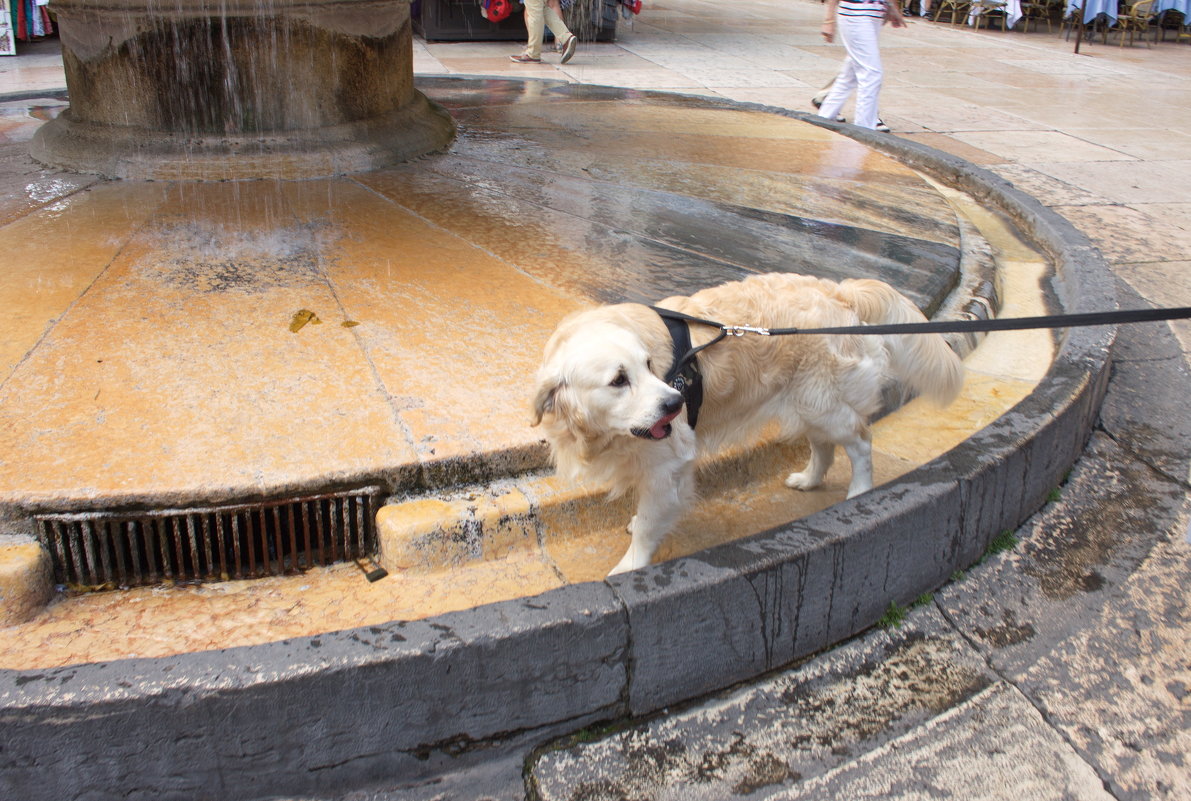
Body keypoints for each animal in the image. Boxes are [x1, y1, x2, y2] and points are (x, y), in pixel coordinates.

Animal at [535, 274, 962, 576]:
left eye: (648, 366)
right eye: (618, 380)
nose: (675, 403)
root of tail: (840, 291)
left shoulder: (668, 462)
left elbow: (649, 523)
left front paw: (631, 565)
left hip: (825, 403)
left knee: (860, 441)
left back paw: (858, 492)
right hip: (808, 403)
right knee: (822, 446)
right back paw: (809, 480)